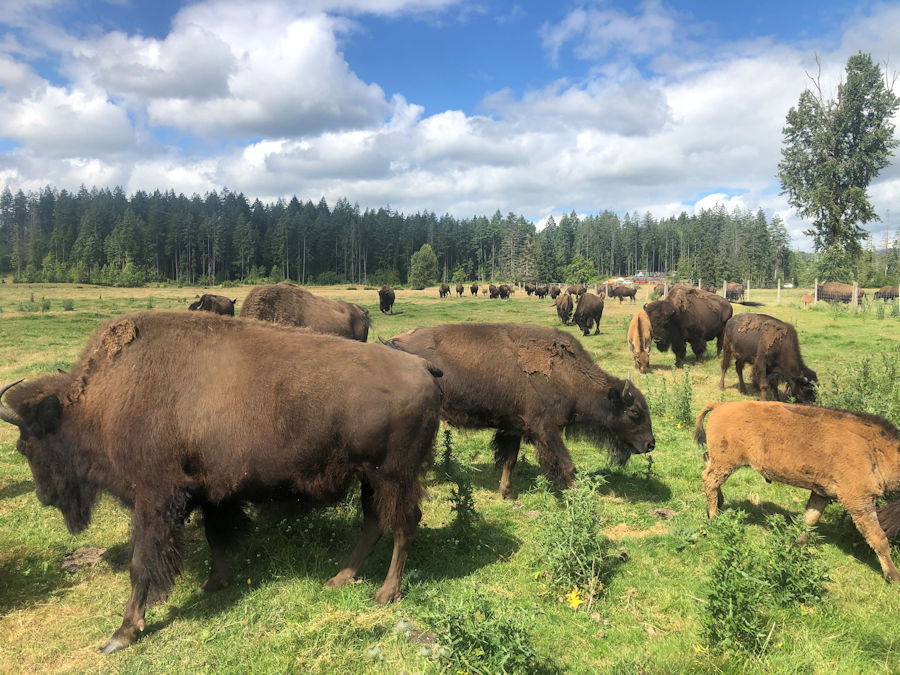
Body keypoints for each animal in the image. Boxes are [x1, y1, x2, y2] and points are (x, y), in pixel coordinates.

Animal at [0, 311, 442, 652]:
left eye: (26, 444)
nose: (44, 496)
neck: (105, 398)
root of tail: (422, 368)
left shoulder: (154, 498)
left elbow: (141, 563)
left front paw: (123, 633)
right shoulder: (210, 494)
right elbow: (217, 537)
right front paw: (212, 585)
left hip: (394, 476)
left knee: (403, 525)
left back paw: (385, 594)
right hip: (370, 478)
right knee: (375, 524)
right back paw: (340, 578)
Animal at [385, 323, 655, 498]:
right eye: (634, 413)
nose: (650, 444)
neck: (567, 374)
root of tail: (392, 343)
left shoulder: (515, 427)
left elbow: (510, 460)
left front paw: (506, 492)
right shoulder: (545, 428)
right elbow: (567, 465)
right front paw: (579, 497)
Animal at [695, 401, 900, 582]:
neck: (877, 449)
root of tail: (721, 405)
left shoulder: (821, 494)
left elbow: (809, 519)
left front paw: (796, 544)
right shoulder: (859, 501)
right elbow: (878, 538)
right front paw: (893, 576)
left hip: (722, 461)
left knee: (707, 464)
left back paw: (718, 504)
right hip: (727, 462)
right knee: (709, 480)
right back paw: (714, 517)